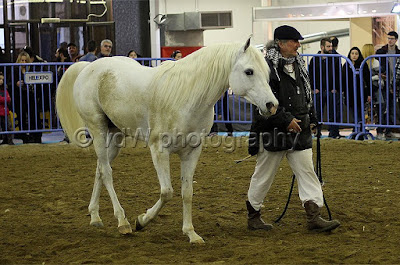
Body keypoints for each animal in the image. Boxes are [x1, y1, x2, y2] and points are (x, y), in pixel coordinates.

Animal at [56, 38, 278, 242]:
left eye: (267, 72)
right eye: (249, 71)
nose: (272, 105)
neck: (187, 96)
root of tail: (88, 68)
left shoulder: (191, 152)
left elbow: (187, 192)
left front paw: (191, 233)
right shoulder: (159, 150)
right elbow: (167, 192)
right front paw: (142, 220)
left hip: (116, 136)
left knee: (100, 170)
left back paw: (95, 216)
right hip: (98, 130)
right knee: (107, 173)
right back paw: (122, 222)